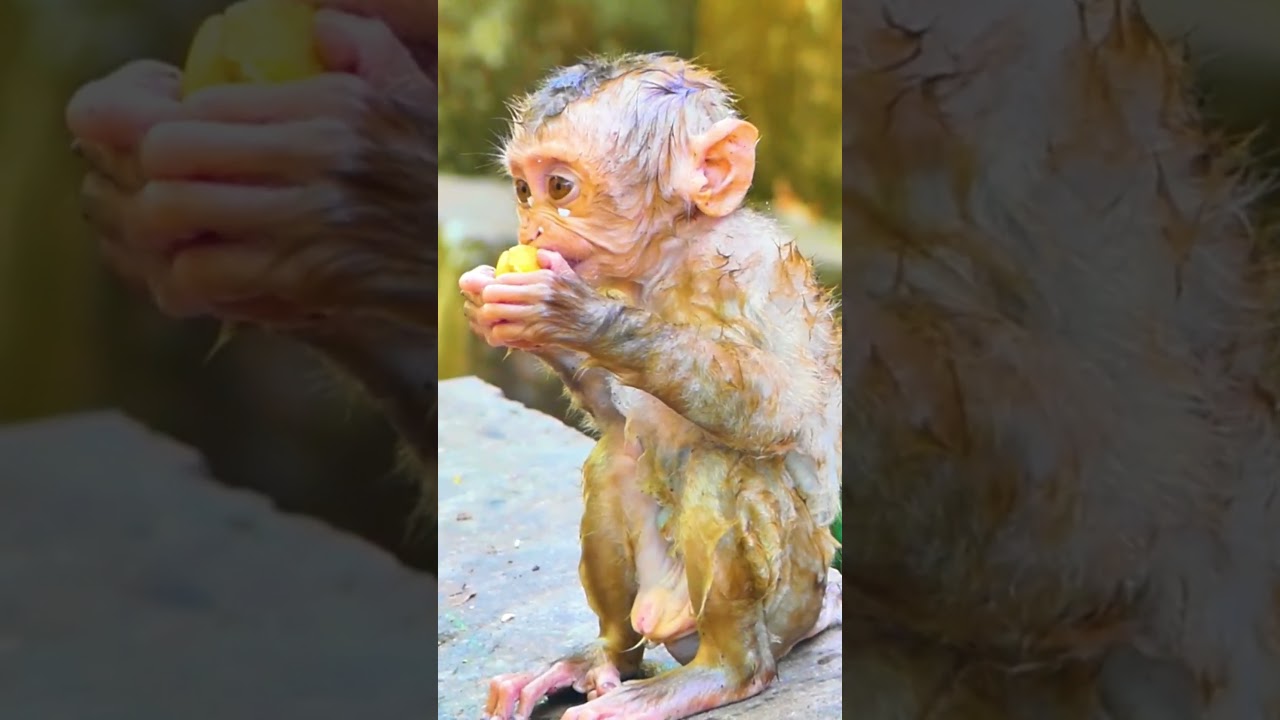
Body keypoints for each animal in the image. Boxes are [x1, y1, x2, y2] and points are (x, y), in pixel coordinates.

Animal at [457, 53, 843, 720]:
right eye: (523, 191)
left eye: (559, 188)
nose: (531, 234)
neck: (665, 263)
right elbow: (614, 418)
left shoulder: (749, 267)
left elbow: (787, 402)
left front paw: (578, 316)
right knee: (615, 460)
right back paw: (603, 657)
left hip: (796, 594)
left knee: (721, 464)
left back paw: (725, 672)